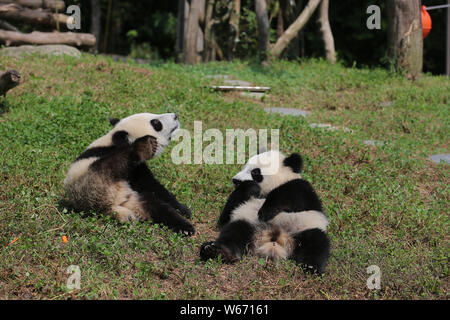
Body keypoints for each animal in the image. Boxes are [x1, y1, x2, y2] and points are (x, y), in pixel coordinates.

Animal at [60, 112, 194, 235]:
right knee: (115, 163)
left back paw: (186, 228)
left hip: (134, 200)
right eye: (156, 123)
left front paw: (183, 209)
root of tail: (110, 206)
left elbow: (151, 186)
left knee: (158, 207)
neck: (114, 140)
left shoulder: (136, 170)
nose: (175, 116)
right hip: (90, 179)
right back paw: (143, 147)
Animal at [200, 149, 330, 272]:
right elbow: (225, 217)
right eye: (245, 166)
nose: (236, 180)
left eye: (255, 172)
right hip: (249, 224)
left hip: (302, 228)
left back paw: (311, 267)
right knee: (233, 232)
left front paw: (265, 212)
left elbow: (292, 193)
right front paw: (249, 186)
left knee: (316, 243)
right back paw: (215, 251)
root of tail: (272, 237)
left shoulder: (305, 192)